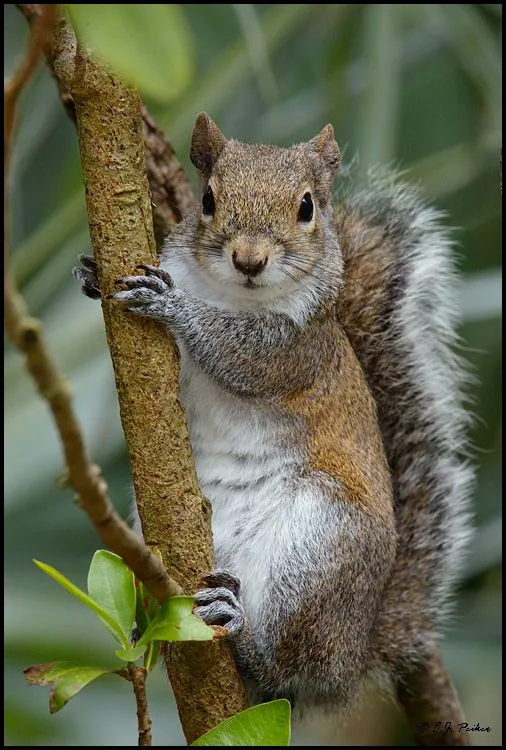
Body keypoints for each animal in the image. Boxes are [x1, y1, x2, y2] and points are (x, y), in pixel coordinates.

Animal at [73, 113, 472, 740]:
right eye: (208, 200)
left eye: (307, 208)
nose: (249, 258)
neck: (230, 294)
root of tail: (350, 661)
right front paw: (92, 273)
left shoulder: (294, 351)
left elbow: (237, 353)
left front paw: (176, 307)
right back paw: (148, 628)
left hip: (317, 551)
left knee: (286, 663)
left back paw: (240, 632)